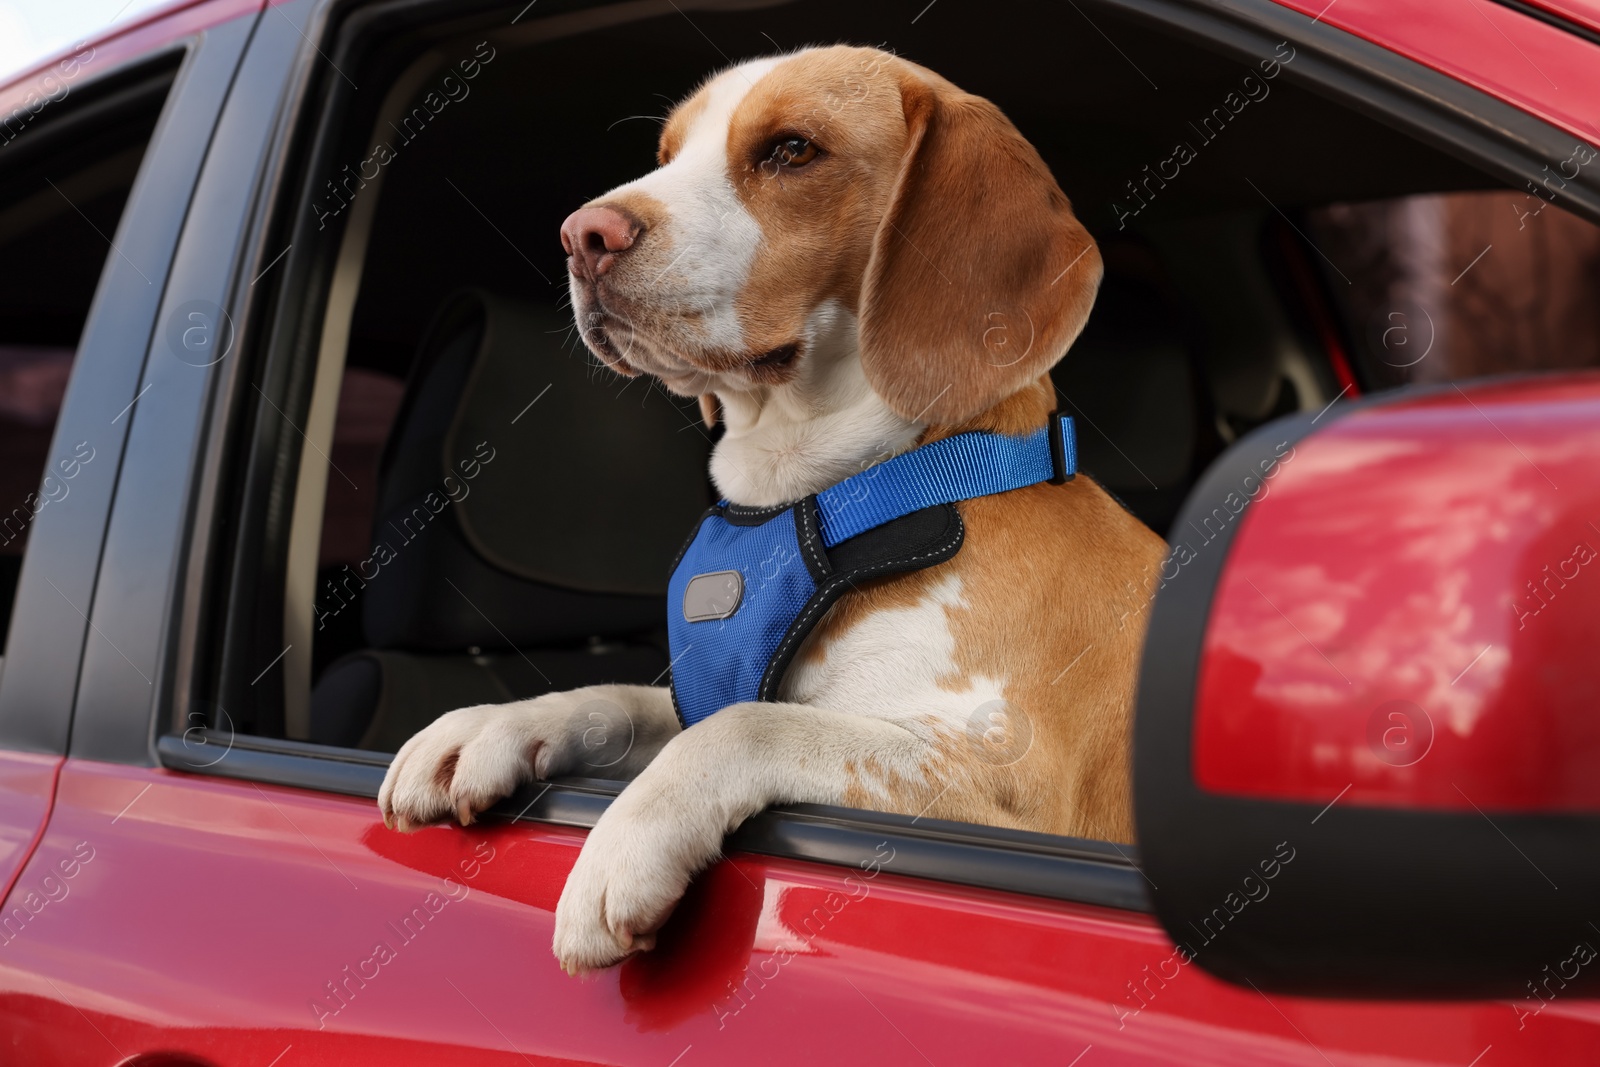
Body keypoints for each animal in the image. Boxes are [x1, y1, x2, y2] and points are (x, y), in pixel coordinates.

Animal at [380, 45, 1171, 972]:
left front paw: (621, 847)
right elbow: (623, 694)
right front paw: (493, 726)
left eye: (792, 150)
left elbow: (750, 724)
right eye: (666, 155)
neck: (825, 494)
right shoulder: (696, 686)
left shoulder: (1012, 782)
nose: (583, 236)